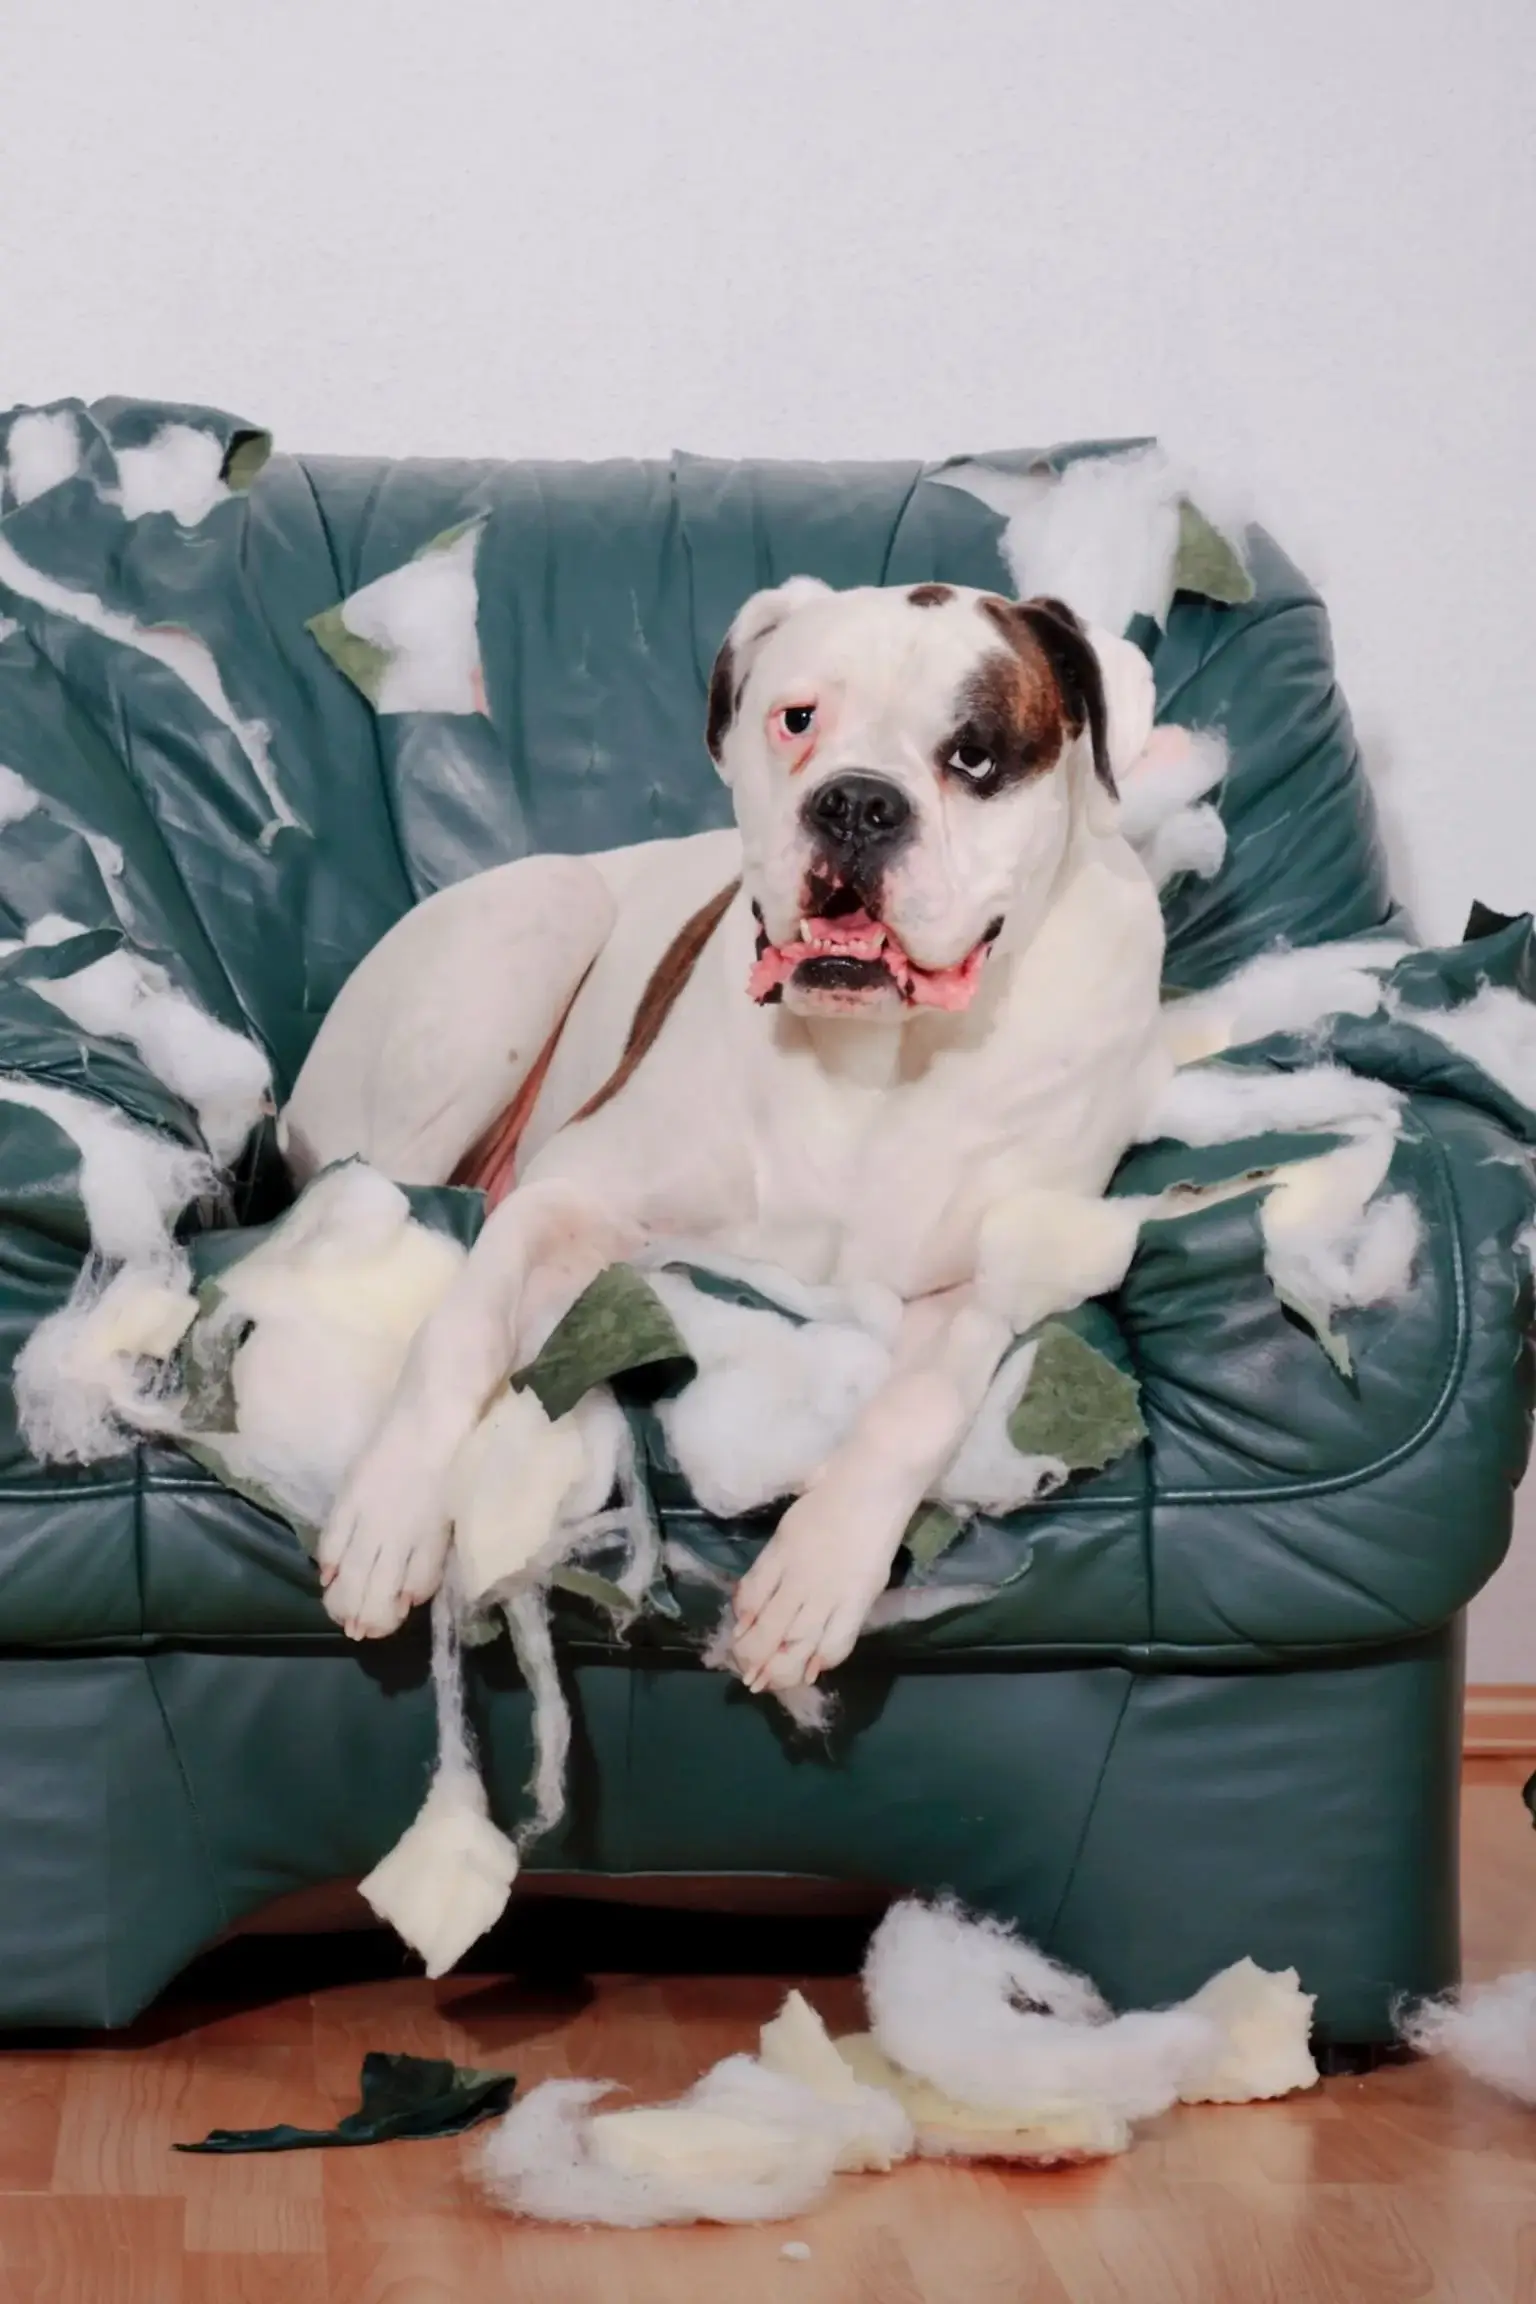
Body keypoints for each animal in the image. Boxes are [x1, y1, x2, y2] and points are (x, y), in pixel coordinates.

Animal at [279, 576, 1165, 1695]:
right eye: (797, 719)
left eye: (973, 755)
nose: (858, 802)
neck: (874, 1057)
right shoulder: (568, 1191)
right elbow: (461, 1325)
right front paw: (390, 1511)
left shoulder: (988, 1282)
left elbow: (916, 1406)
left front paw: (816, 1573)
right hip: (542, 914)